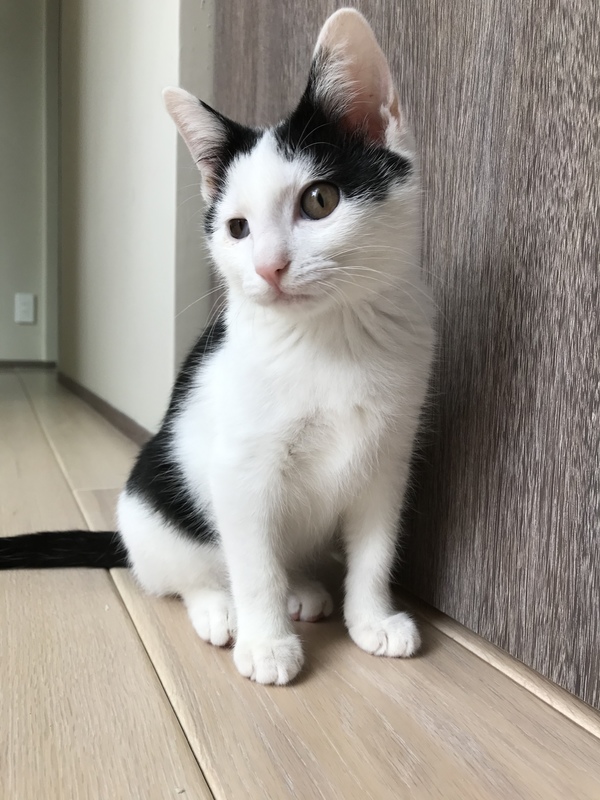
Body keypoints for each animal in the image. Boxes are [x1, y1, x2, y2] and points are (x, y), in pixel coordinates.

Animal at [0, 8, 434, 685]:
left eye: (320, 200)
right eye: (237, 228)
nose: (268, 268)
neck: (330, 337)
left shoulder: (389, 456)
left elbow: (375, 547)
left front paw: (372, 619)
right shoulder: (241, 467)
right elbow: (253, 563)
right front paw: (267, 643)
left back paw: (302, 589)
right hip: (154, 498)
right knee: (184, 573)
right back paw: (221, 610)